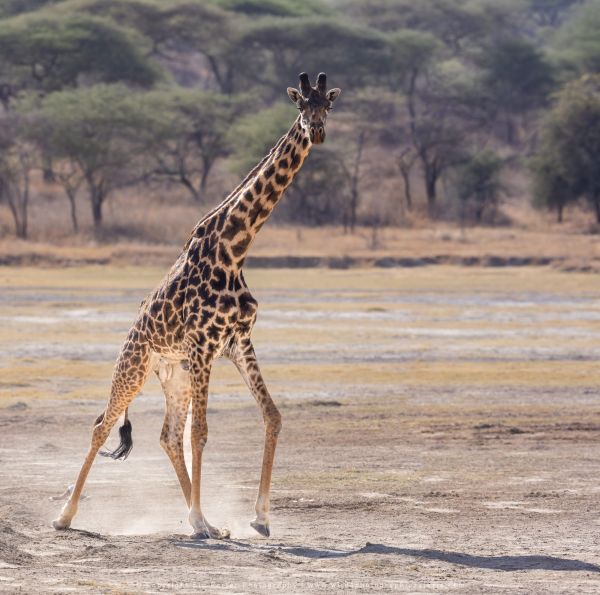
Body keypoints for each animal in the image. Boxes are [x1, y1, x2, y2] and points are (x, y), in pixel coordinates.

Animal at [52, 72, 340, 536]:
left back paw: (202, 520)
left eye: (327, 106)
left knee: (167, 436)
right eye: (301, 106)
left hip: (176, 376)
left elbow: (272, 416)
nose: (316, 132)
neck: (236, 248)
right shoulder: (204, 345)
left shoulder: (237, 342)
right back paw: (66, 515)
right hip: (134, 366)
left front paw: (259, 517)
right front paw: (206, 518)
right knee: (102, 425)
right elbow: (201, 433)